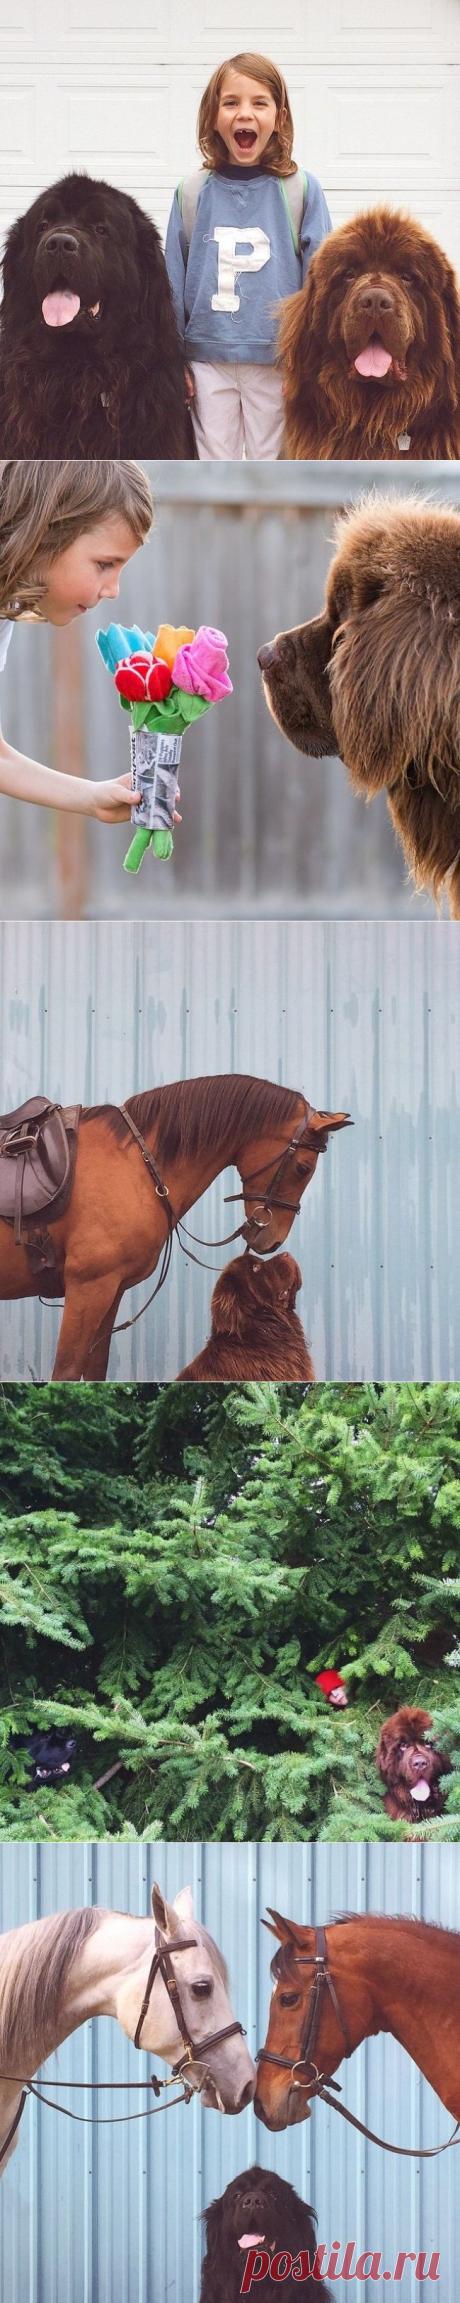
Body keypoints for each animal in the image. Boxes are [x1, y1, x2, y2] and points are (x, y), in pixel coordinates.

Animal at [0, 1074, 350, 1380]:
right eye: (303, 1168)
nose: (271, 1240)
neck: (136, 1164)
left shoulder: (110, 1291)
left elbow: (95, 1368)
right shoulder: (88, 1288)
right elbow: (67, 1372)